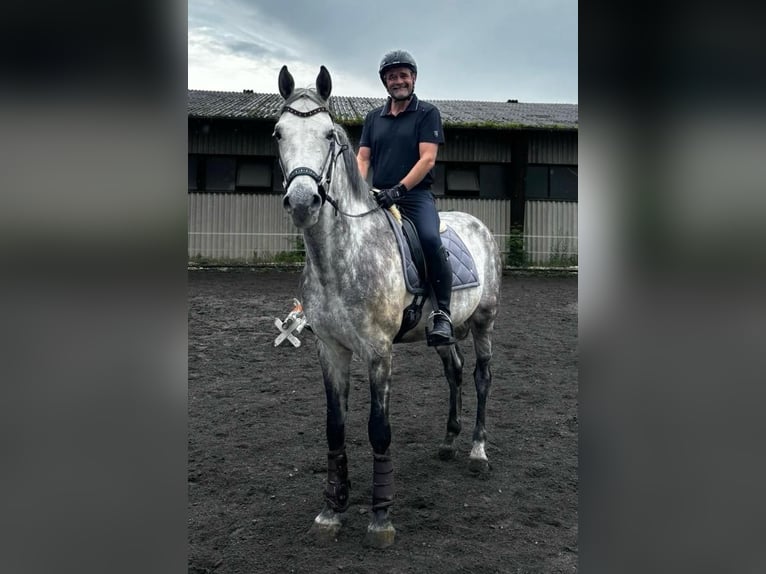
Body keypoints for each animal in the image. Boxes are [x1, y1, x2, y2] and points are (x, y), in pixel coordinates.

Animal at [276, 65, 504, 552]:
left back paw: (477, 451)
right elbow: (335, 427)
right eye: (278, 133)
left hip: (484, 320)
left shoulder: (379, 353)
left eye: (329, 135)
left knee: (481, 376)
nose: (303, 202)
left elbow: (378, 430)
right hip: (445, 330)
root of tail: (476, 223)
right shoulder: (330, 350)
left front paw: (380, 519)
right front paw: (331, 511)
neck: (340, 257)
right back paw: (448, 442)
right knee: (455, 371)